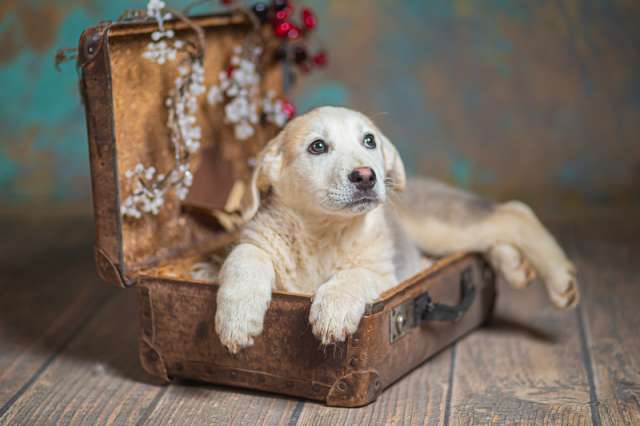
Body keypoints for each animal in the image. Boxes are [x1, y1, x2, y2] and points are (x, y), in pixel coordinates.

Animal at [215, 105, 580, 352]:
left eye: (369, 141)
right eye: (317, 146)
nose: (366, 176)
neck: (323, 231)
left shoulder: (384, 273)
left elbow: (353, 276)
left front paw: (332, 310)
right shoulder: (255, 242)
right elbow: (244, 261)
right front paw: (237, 319)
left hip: (438, 225)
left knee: (514, 213)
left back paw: (560, 279)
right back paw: (515, 266)